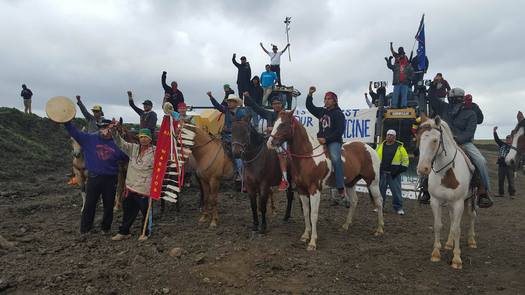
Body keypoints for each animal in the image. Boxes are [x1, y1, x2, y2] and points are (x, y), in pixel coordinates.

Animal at [268, 111, 382, 252]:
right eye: (275, 123)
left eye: (283, 124)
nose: (270, 142)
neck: (308, 156)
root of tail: (369, 148)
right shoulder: (301, 190)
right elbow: (306, 212)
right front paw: (305, 236)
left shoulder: (314, 190)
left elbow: (313, 214)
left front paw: (312, 242)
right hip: (350, 183)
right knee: (354, 201)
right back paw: (345, 225)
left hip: (373, 183)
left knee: (379, 202)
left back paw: (379, 229)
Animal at [416, 115, 476, 270]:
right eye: (418, 139)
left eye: (435, 140)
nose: (422, 169)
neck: (447, 173)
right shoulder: (435, 201)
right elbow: (438, 225)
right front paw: (436, 253)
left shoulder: (459, 203)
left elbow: (457, 228)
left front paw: (457, 259)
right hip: (450, 204)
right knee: (452, 219)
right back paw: (449, 243)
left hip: (471, 200)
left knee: (471, 216)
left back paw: (472, 240)